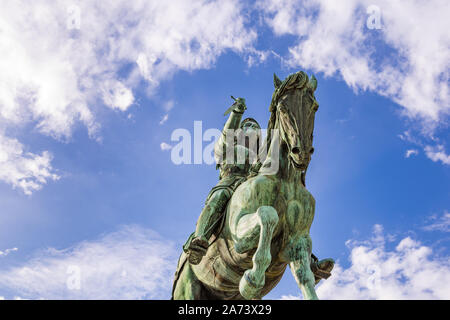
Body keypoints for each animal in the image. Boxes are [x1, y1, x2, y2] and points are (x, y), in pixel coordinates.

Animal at [172, 70, 330, 300]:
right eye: (282, 107)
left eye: (314, 106)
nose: (300, 152)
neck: (284, 180)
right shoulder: (239, 233)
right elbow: (268, 214)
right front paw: (252, 280)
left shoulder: (298, 242)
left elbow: (306, 279)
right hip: (187, 289)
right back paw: (197, 246)